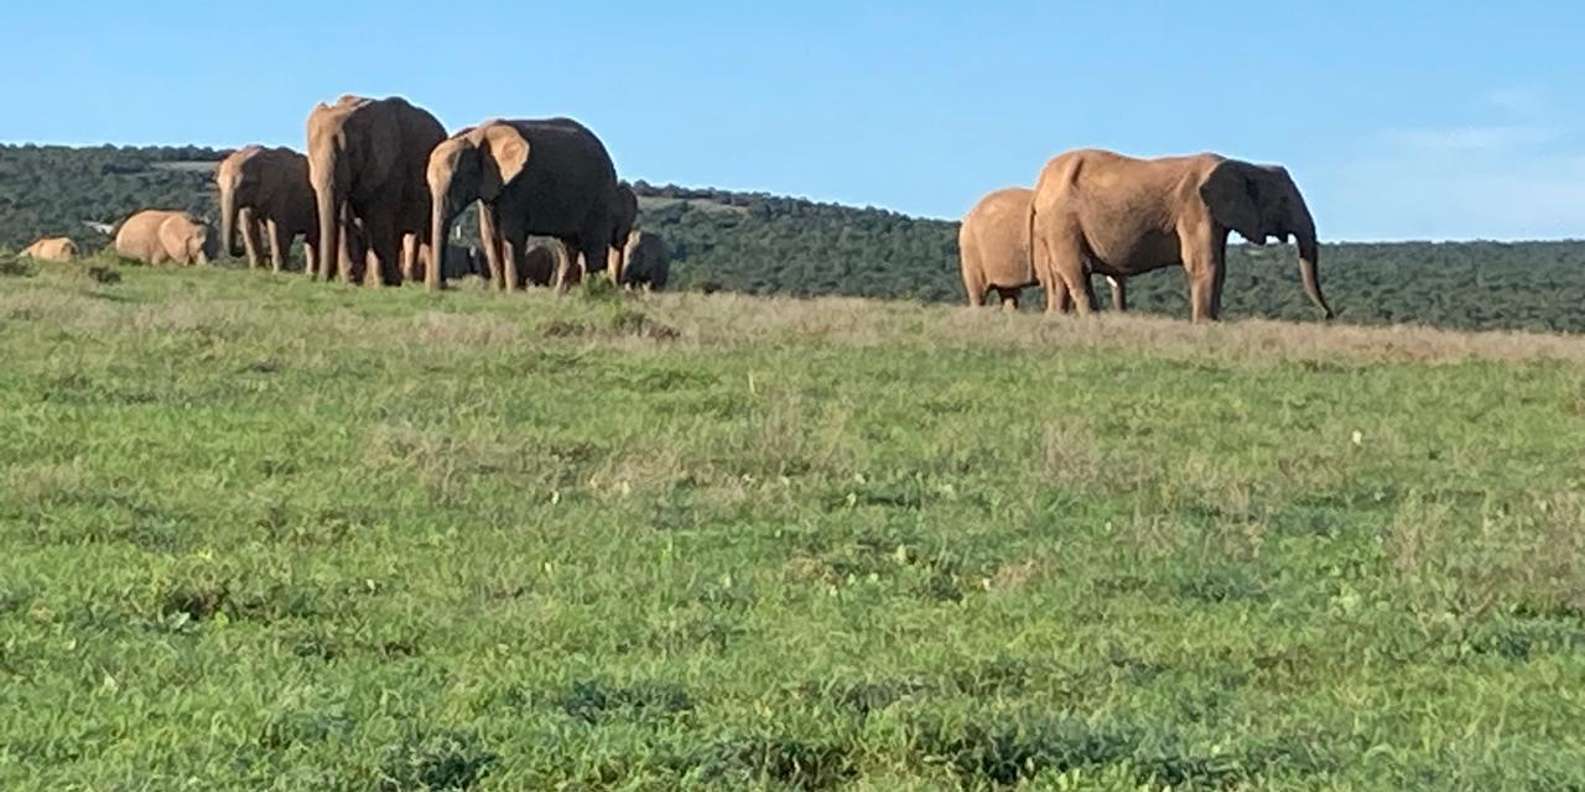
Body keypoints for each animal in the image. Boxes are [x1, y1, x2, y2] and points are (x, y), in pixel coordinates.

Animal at [217, 144, 318, 272]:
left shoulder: (281, 192)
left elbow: (276, 227)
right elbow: (248, 225)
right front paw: (257, 269)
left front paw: (279, 272)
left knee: (311, 238)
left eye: (247, 184)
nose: (241, 249)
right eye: (219, 185)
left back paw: (309, 273)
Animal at [307, 95, 446, 288]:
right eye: (310, 155)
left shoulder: (391, 164)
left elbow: (379, 217)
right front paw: (353, 281)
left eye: (352, 152)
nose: (321, 279)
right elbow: (347, 216)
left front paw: (383, 284)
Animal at [434, 115, 630, 293]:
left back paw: (593, 290)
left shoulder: (517, 185)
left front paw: (515, 293)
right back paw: (561, 295)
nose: (442, 287)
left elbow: (512, 235)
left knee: (592, 245)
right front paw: (499, 291)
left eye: (458, 179)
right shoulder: (491, 187)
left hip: (599, 195)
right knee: (568, 248)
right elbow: (490, 234)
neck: (477, 136)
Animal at [1020, 148, 1331, 321]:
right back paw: (1093, 320)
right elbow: (1205, 264)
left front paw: (1214, 322)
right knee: (1077, 272)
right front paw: (1205, 324)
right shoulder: (1195, 207)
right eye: (1284, 201)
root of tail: (1040, 183)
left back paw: (1057, 319)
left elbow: (1219, 266)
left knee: (1060, 277)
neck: (1244, 164)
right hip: (1063, 222)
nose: (1329, 315)